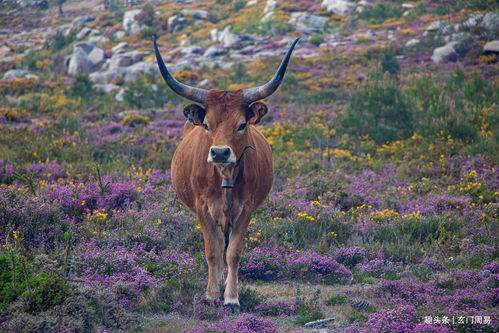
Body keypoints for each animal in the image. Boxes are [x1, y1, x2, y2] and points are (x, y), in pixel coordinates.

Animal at [154, 37, 298, 310]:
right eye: (207, 124)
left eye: (241, 125)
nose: (220, 152)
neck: (225, 176)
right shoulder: (202, 207)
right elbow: (212, 251)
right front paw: (211, 294)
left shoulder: (246, 209)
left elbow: (233, 253)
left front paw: (231, 297)